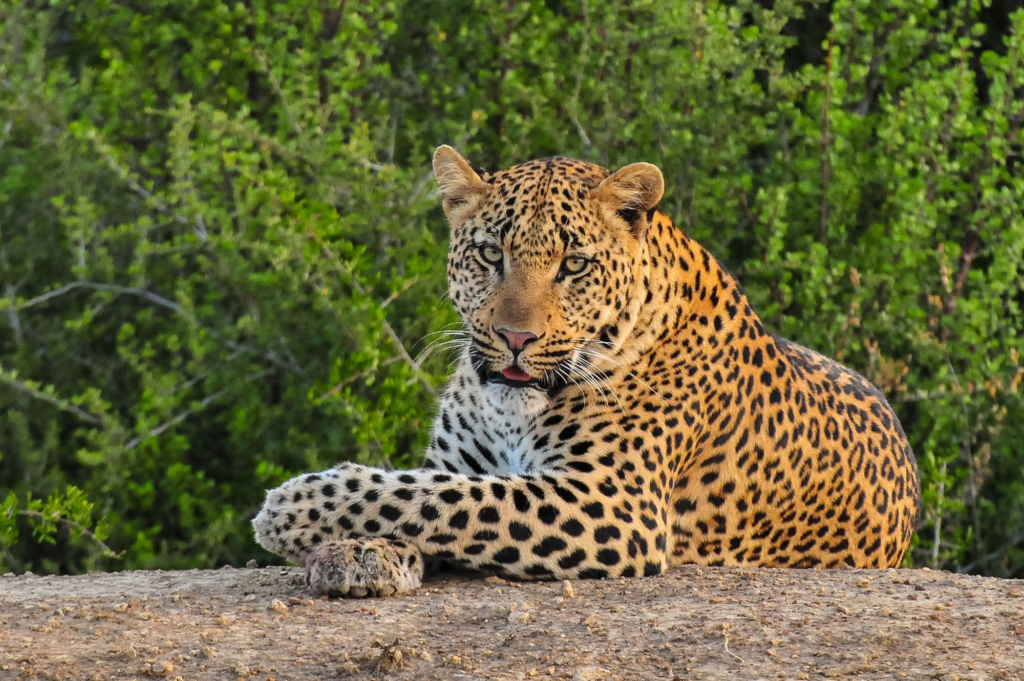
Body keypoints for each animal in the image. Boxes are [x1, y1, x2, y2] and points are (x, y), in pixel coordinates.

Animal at [253, 146, 921, 597]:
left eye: (573, 265)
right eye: (489, 254)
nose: (515, 339)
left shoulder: (615, 502)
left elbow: (446, 500)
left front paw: (292, 506)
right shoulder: (458, 463)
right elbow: (419, 491)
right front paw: (356, 551)